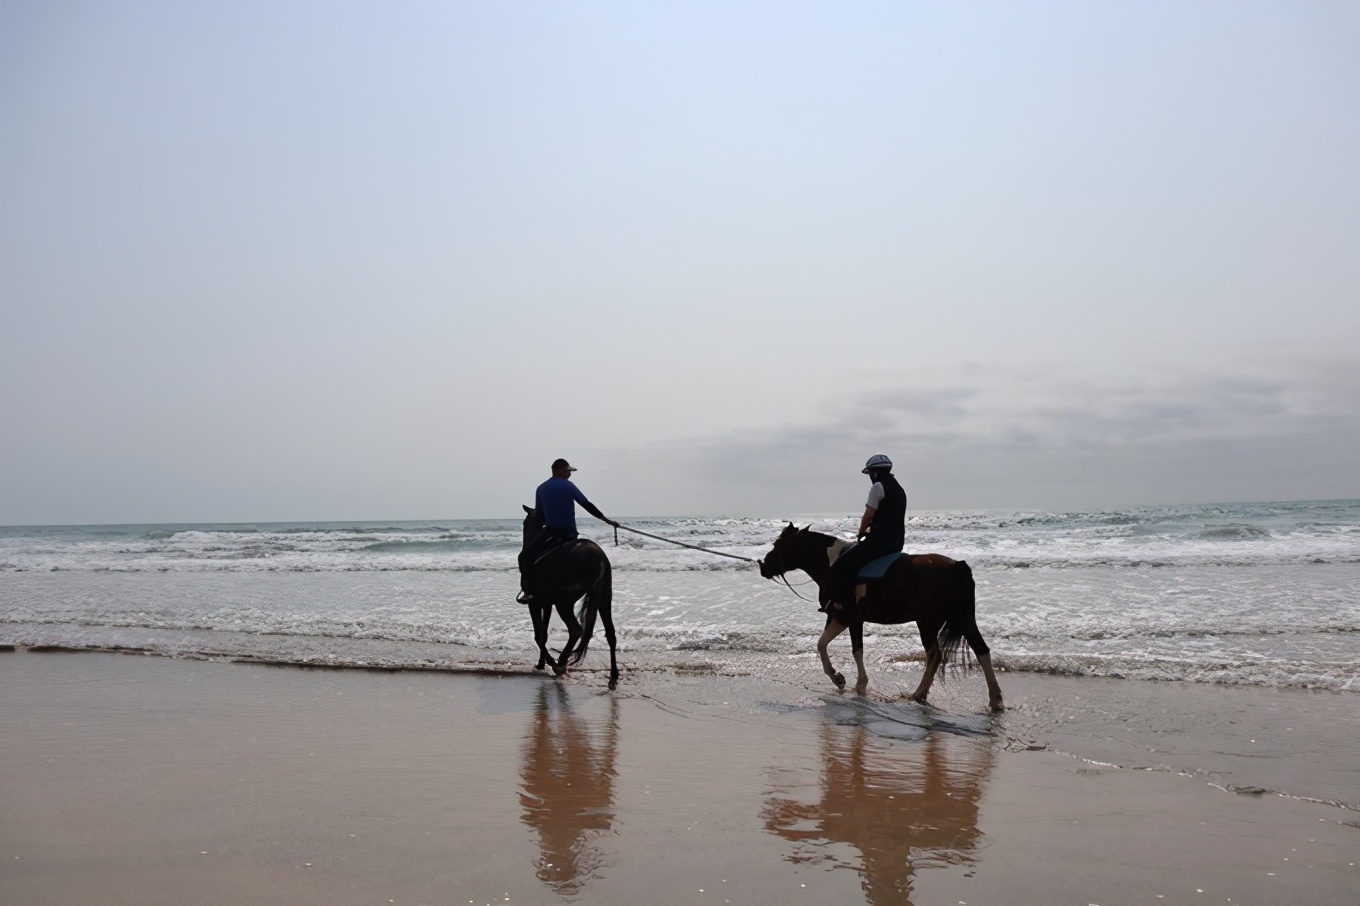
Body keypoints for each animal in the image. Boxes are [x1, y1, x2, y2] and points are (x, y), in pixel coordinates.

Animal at [519, 503, 622, 688]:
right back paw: (614, 674)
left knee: (576, 629)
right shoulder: (547, 603)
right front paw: (541, 663)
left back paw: (560, 663)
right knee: (610, 633)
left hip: (564, 602)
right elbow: (543, 634)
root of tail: (599, 558)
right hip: (604, 599)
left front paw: (548, 663)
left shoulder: (534, 603)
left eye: (525, 523)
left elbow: (538, 636)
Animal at [761, 525, 1006, 707]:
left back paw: (919, 694)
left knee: (935, 654)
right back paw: (995, 700)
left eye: (777, 545)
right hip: (964, 620)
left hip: (927, 622)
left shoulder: (844, 617)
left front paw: (848, 681)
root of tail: (957, 566)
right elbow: (833, 646)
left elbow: (842, 648)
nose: (762, 566)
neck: (832, 563)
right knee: (981, 651)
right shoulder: (847, 619)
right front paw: (845, 680)